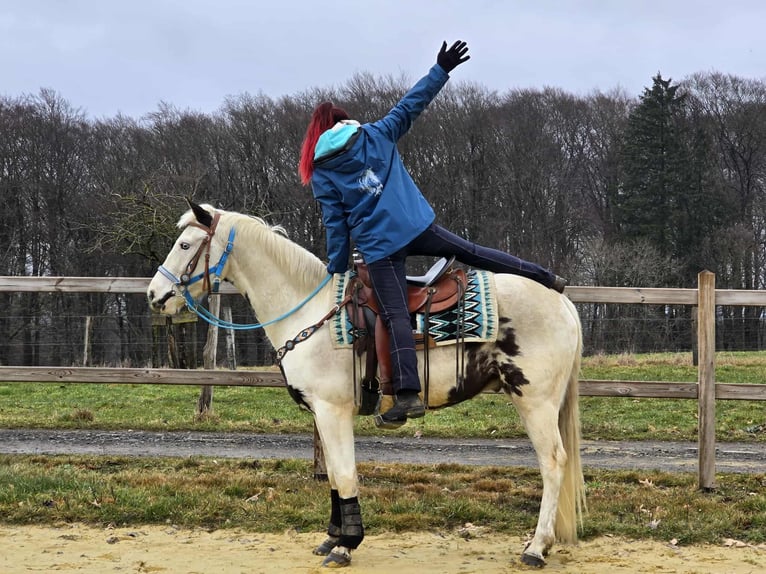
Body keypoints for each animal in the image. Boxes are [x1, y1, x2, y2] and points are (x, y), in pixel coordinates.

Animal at [147, 201, 585, 568]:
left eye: (185, 244)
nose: (155, 295)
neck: (309, 309)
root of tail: (563, 303)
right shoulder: (322, 414)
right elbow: (335, 475)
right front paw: (331, 537)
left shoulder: (332, 410)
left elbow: (344, 474)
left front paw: (346, 545)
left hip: (535, 401)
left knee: (553, 463)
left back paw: (536, 548)